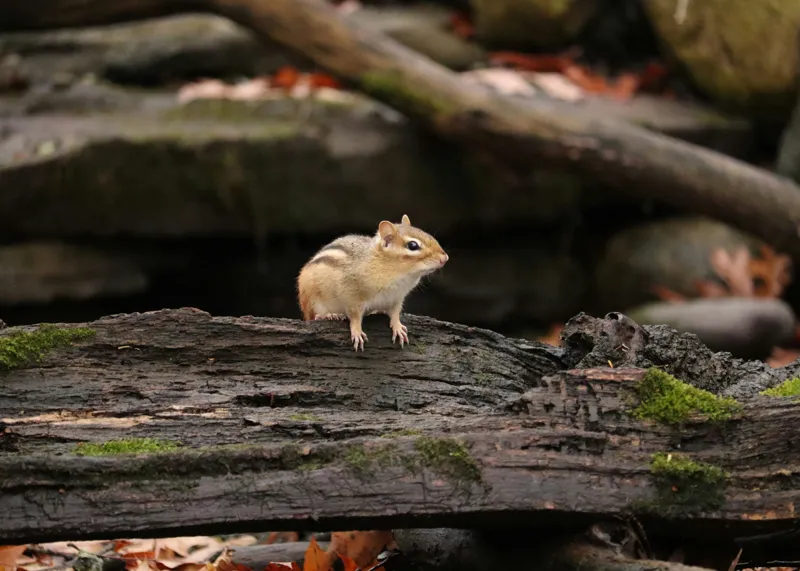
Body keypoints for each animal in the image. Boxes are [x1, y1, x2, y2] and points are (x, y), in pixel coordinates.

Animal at [297, 214, 449, 351]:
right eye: (413, 245)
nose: (445, 258)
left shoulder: (396, 298)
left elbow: (395, 312)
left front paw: (398, 326)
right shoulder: (351, 294)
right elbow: (354, 316)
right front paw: (357, 331)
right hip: (311, 297)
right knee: (314, 316)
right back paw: (330, 315)